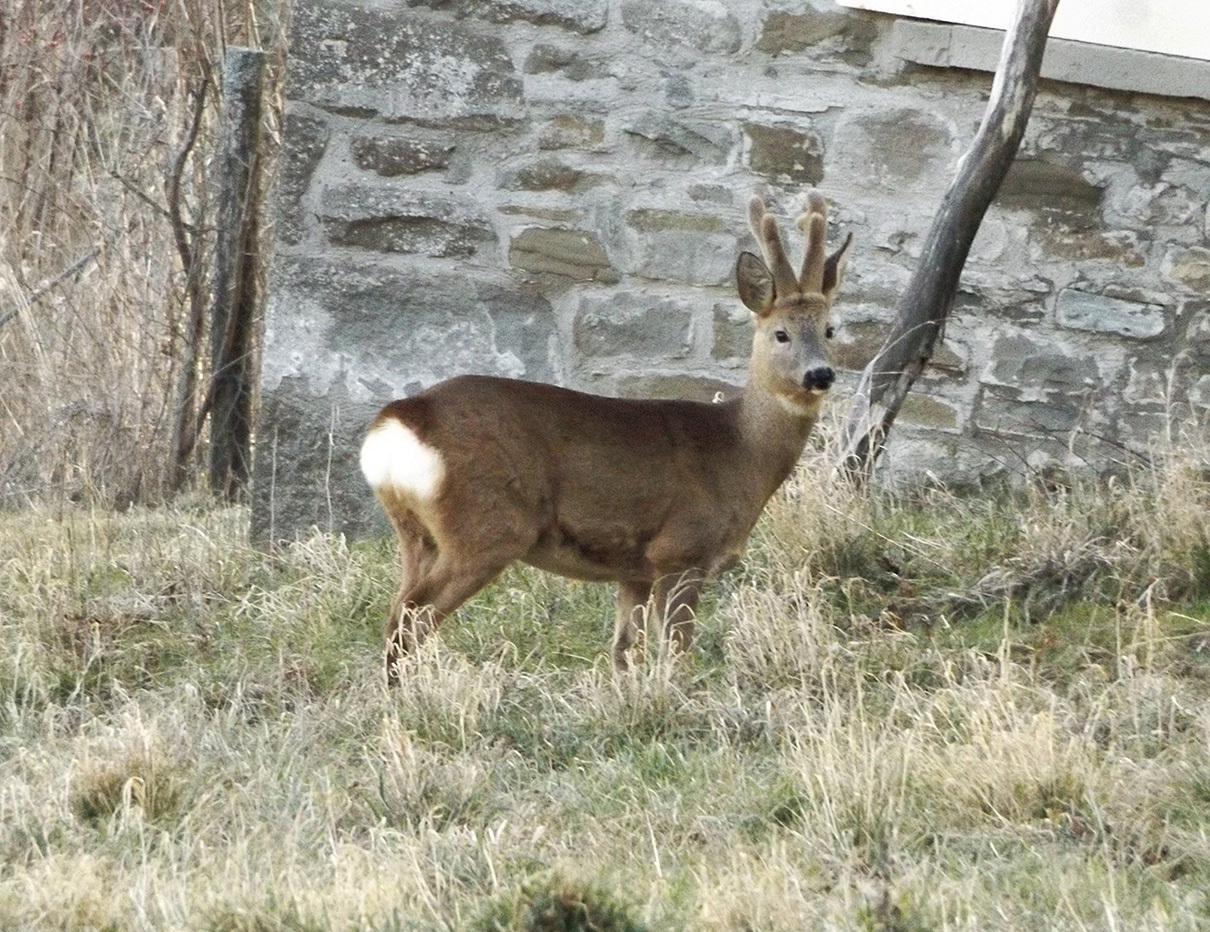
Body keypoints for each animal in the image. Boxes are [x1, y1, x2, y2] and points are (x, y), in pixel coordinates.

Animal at [358, 191, 851, 682]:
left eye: (830, 329)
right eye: (781, 334)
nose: (820, 375)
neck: (740, 451)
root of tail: (398, 419)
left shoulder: (636, 569)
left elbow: (625, 651)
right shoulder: (681, 549)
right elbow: (678, 652)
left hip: (416, 532)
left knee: (397, 612)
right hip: (486, 526)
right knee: (411, 617)